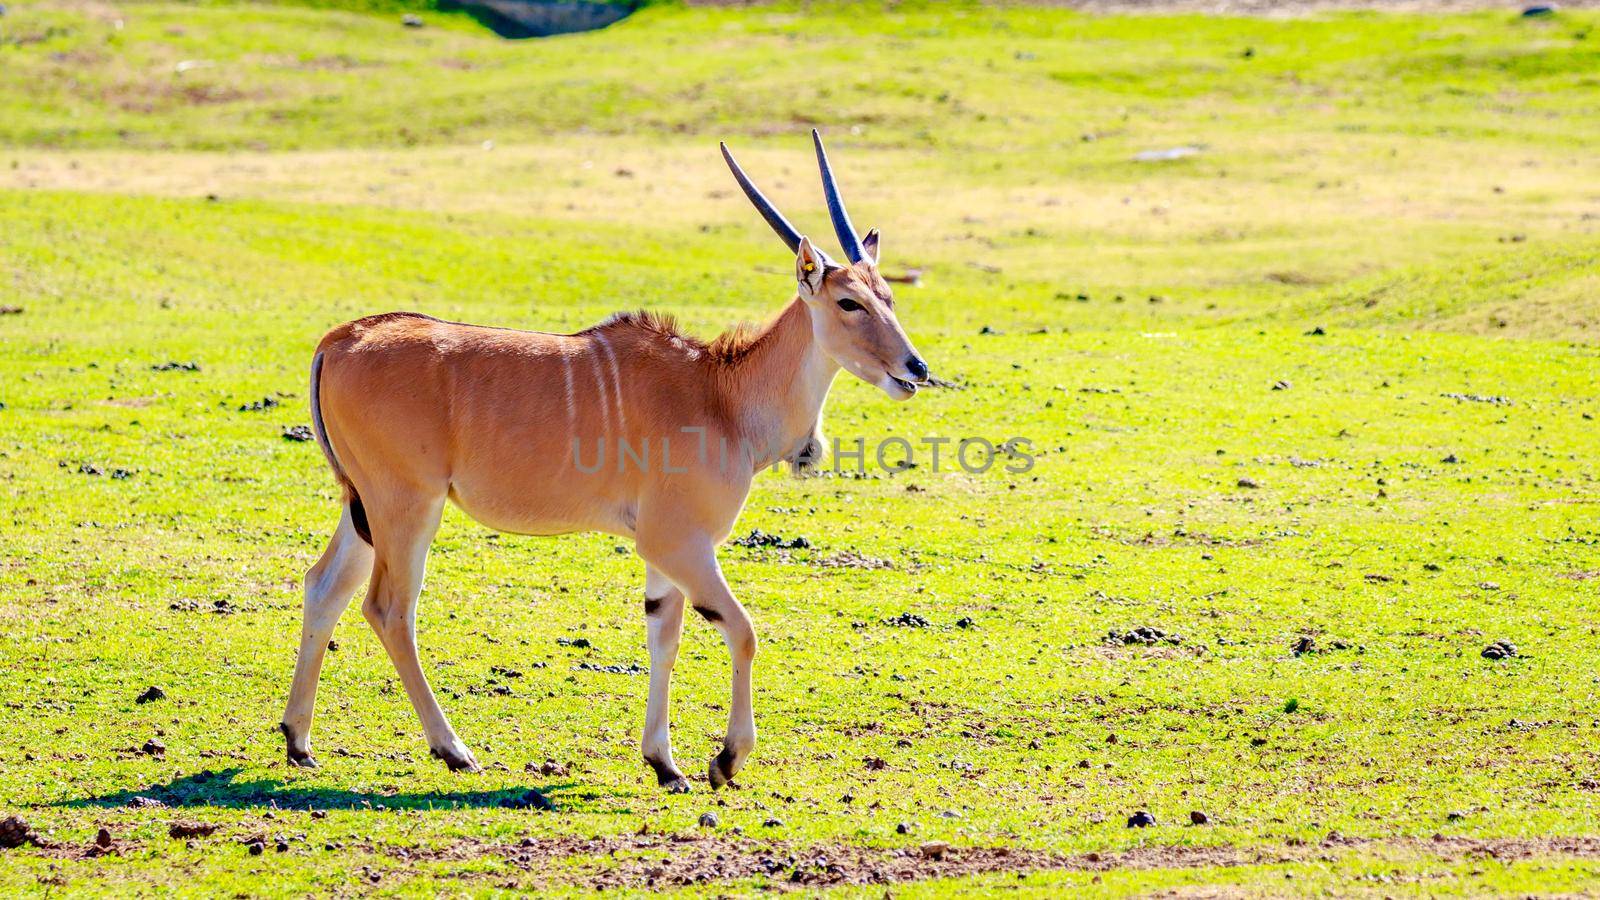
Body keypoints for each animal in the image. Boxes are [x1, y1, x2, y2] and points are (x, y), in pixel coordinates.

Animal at [275, 129, 928, 787]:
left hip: (363, 508)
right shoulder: (678, 542)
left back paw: (299, 740)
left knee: (323, 586)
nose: (915, 368)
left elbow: (664, 635)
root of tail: (341, 340)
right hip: (407, 506)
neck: (721, 392)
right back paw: (452, 748)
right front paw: (724, 759)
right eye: (848, 303)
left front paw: (665, 763)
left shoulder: (666, 553)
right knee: (389, 607)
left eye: (889, 297)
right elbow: (742, 631)